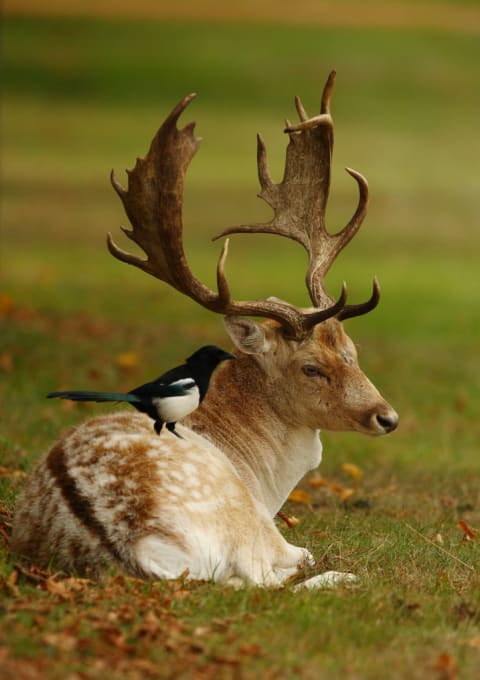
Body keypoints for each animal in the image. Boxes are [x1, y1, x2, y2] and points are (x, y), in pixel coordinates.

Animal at [13, 70, 400, 588]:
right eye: (311, 368)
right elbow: (303, 554)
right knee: (265, 581)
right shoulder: (272, 531)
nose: (387, 417)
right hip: (241, 523)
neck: (262, 475)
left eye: (352, 351)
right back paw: (344, 578)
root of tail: (141, 548)